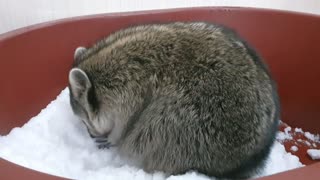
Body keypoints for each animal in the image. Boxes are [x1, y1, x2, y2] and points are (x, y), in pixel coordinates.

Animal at [68, 22, 280, 179]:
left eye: (84, 121)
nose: (91, 134)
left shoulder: (131, 98)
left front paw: (111, 138)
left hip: (193, 123)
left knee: (156, 128)